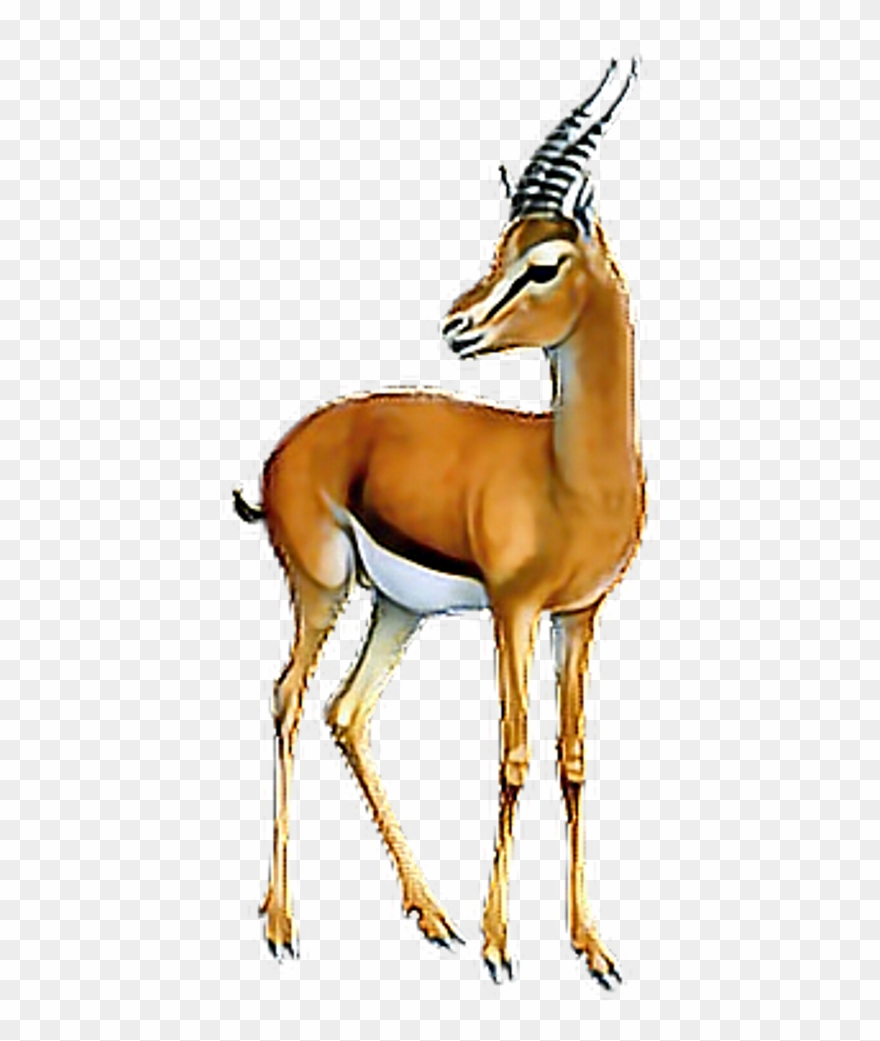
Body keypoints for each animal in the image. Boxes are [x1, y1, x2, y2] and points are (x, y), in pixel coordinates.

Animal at [234, 59, 643, 986]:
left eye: (543, 262)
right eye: (502, 250)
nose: (458, 324)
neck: (569, 474)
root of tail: (288, 446)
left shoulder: (580, 615)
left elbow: (572, 758)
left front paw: (592, 946)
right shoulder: (513, 610)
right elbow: (514, 756)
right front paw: (499, 945)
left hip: (397, 608)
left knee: (347, 711)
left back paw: (430, 913)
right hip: (322, 588)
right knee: (286, 699)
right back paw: (281, 923)